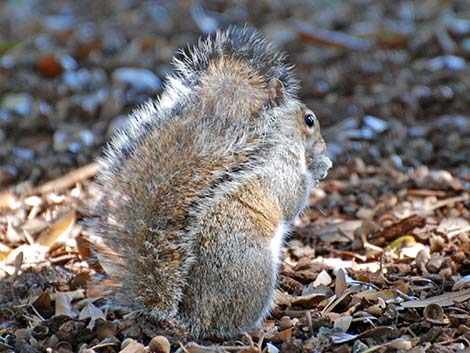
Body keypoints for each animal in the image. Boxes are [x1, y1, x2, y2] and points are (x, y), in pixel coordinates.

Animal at [86, 26, 332, 338]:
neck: (278, 140)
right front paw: (319, 167)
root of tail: (190, 319)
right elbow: (293, 200)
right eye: (309, 120)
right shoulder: (280, 171)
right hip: (255, 273)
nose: (324, 146)